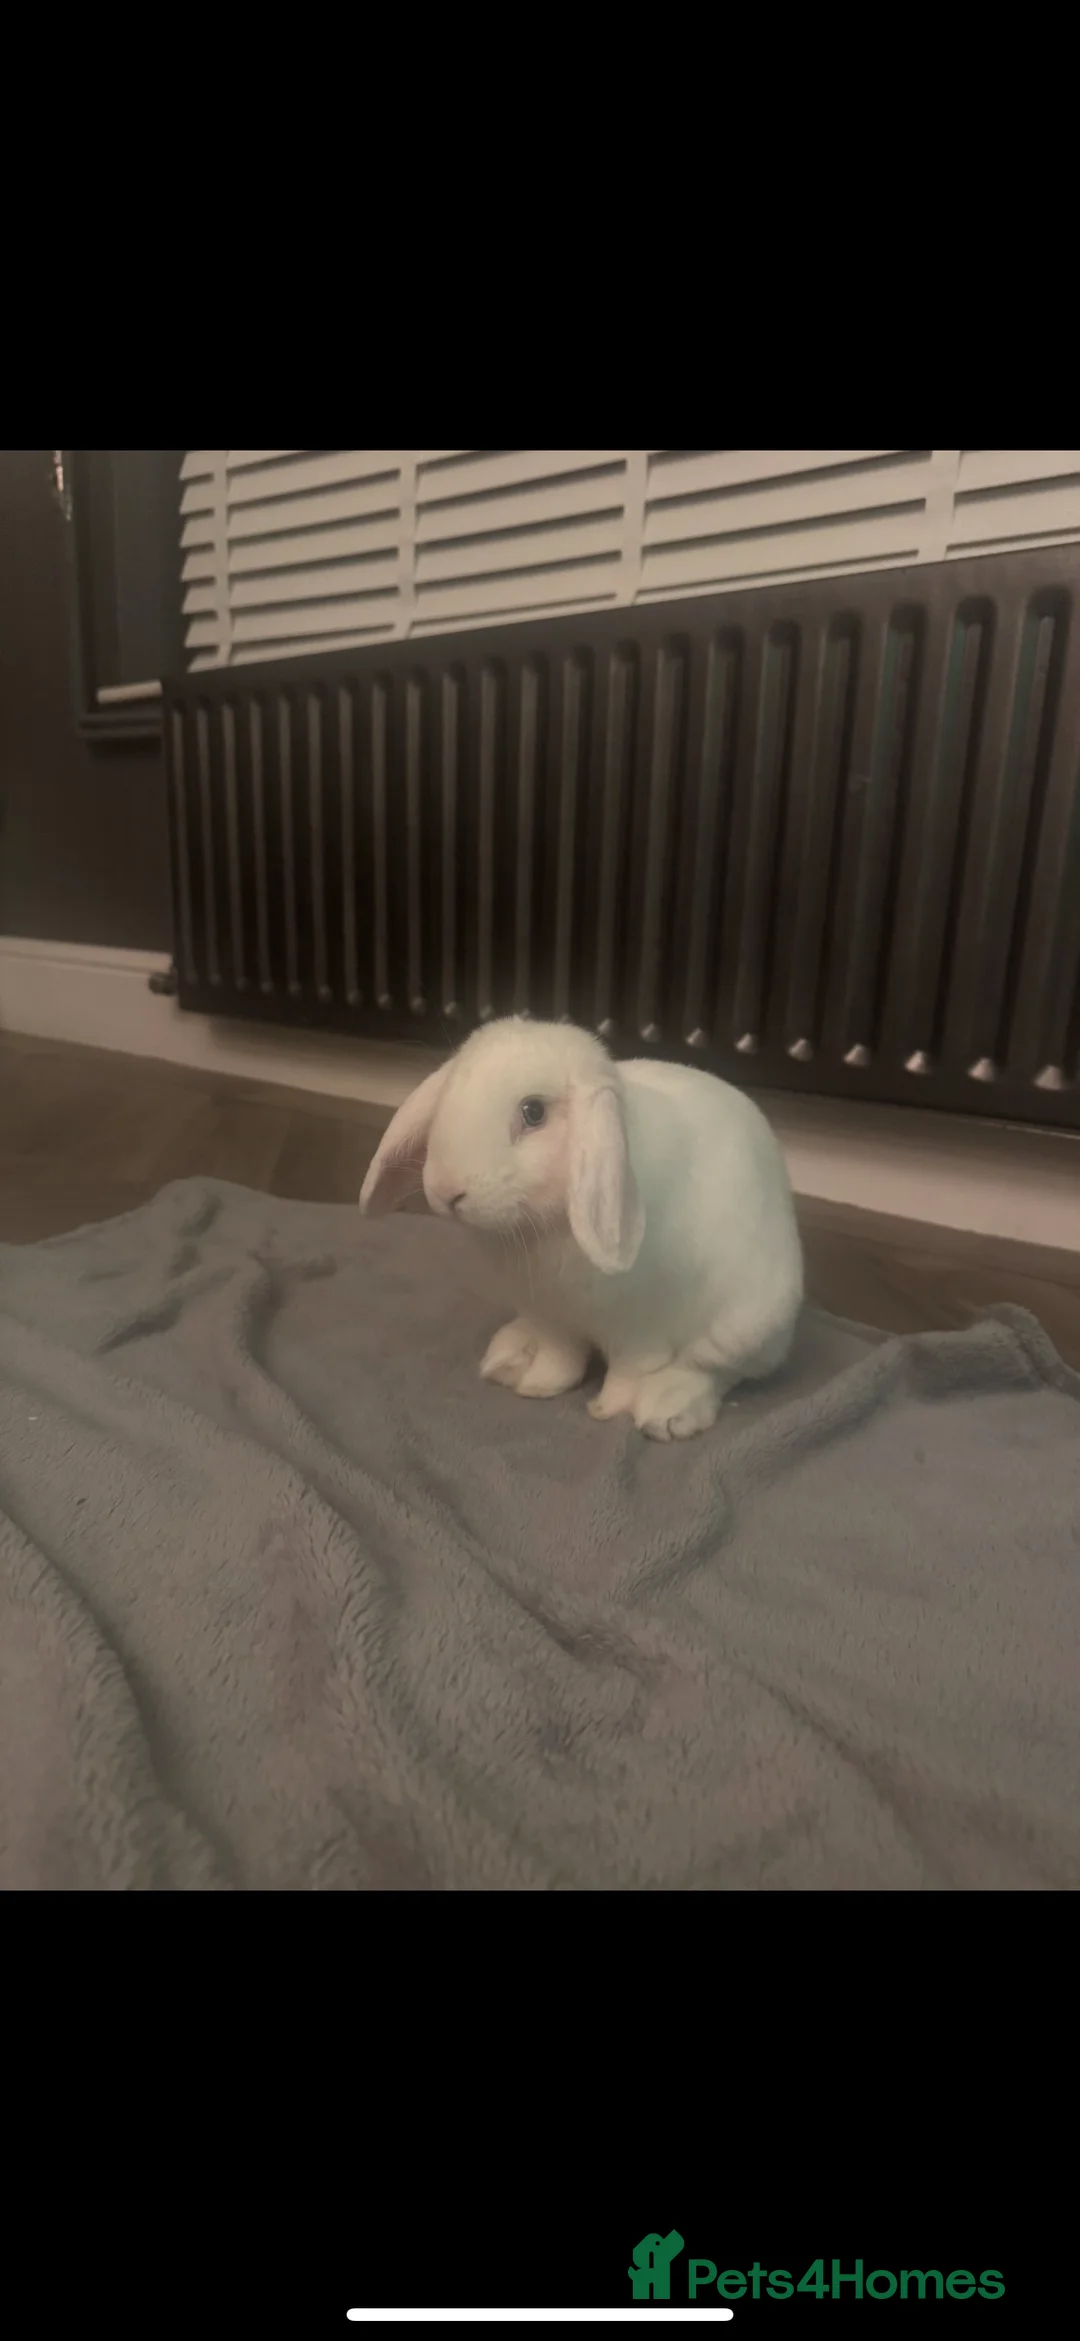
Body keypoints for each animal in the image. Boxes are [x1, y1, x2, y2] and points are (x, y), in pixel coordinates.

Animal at [359, 1015, 803, 1441]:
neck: (544, 1227)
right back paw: (510, 1357)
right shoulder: (552, 1317)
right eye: (451, 1093)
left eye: (533, 1112)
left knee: (715, 1370)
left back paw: (668, 1409)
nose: (446, 1191)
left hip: (744, 1323)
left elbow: (630, 1372)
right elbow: (561, 1358)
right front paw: (539, 1386)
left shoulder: (642, 1332)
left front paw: (607, 1408)